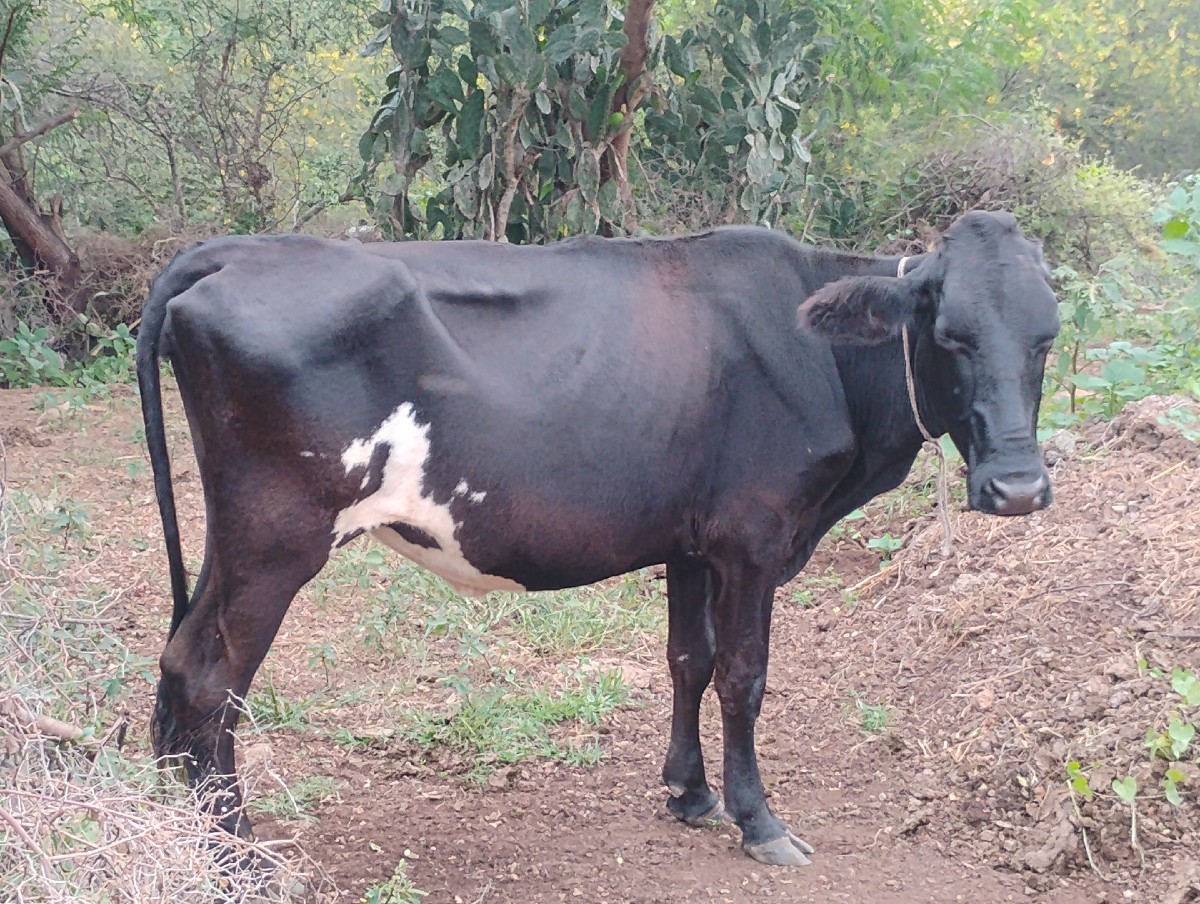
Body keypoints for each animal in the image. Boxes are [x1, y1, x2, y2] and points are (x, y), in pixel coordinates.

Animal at [137, 209, 1059, 867]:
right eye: (951, 336)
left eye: (1046, 340)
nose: (1018, 489)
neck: (824, 358)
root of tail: (236, 250)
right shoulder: (755, 537)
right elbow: (744, 676)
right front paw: (759, 821)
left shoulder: (691, 541)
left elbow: (689, 659)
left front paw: (690, 794)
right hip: (277, 539)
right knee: (211, 679)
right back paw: (233, 853)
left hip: (235, 536)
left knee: (179, 658)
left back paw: (173, 822)